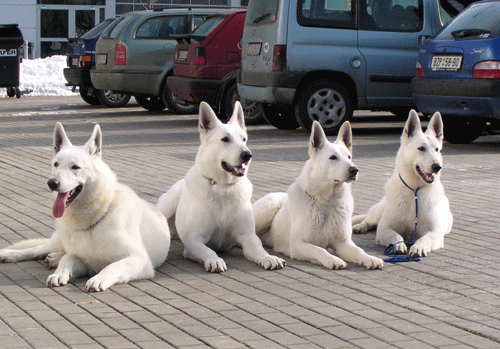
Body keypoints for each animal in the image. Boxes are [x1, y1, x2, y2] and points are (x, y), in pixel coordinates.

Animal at [0, 122, 171, 290]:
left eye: (75, 167)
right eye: (56, 164)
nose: (52, 183)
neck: (95, 219)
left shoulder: (139, 260)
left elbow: (111, 266)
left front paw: (99, 279)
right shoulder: (84, 262)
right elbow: (68, 258)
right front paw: (59, 274)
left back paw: (53, 258)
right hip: (57, 240)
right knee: (38, 249)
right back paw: (10, 254)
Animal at [158, 100, 288, 272]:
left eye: (244, 139)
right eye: (225, 139)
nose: (247, 155)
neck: (223, 187)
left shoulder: (248, 236)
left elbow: (259, 249)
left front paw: (269, 257)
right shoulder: (193, 241)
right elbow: (208, 251)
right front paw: (214, 260)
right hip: (168, 204)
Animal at [252, 119, 384, 270]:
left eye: (349, 157)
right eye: (333, 157)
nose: (354, 170)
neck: (326, 202)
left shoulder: (342, 242)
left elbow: (358, 250)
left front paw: (369, 258)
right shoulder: (299, 244)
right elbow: (319, 250)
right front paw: (333, 259)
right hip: (270, 206)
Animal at [352, 110, 454, 256]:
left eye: (437, 149)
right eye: (421, 148)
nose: (437, 167)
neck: (414, 191)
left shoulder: (435, 232)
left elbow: (425, 239)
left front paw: (418, 247)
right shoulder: (384, 228)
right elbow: (395, 235)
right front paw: (398, 244)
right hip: (378, 213)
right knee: (369, 220)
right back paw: (361, 226)